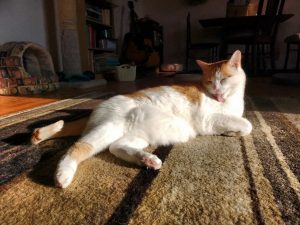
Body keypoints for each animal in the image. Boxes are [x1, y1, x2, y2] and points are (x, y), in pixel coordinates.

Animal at [31, 50, 251, 188]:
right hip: (110, 127)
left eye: (224, 80)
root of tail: (99, 107)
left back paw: (147, 159)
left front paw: (230, 132)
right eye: (210, 81)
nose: (217, 90)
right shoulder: (208, 119)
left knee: (116, 147)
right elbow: (247, 124)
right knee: (76, 147)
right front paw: (232, 131)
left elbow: (242, 123)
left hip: (138, 134)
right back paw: (62, 175)